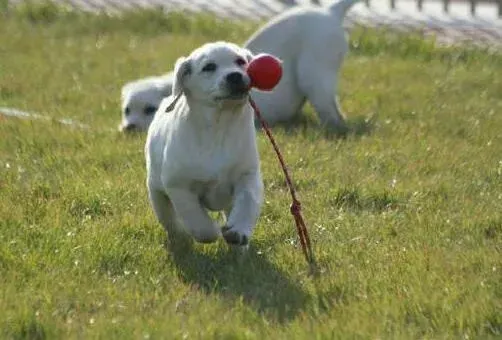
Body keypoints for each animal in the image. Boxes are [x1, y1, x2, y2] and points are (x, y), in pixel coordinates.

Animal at [144, 41, 262, 250]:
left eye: (240, 62)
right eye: (209, 67)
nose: (235, 76)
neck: (219, 125)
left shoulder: (248, 175)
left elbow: (248, 201)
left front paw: (238, 231)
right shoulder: (178, 185)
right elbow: (196, 219)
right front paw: (211, 231)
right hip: (156, 191)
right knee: (169, 219)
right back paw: (180, 237)